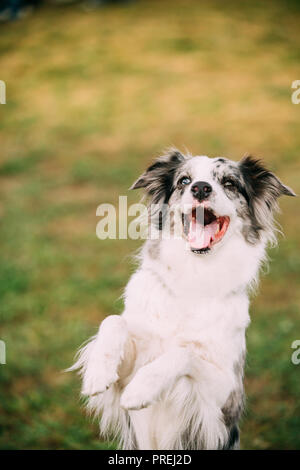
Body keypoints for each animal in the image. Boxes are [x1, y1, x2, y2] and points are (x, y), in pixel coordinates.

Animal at [70, 149, 296, 450]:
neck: (192, 277)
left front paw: (142, 388)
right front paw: (98, 373)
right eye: (184, 181)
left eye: (229, 183)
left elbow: (184, 352)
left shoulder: (227, 397)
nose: (200, 188)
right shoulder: (126, 372)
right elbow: (113, 321)